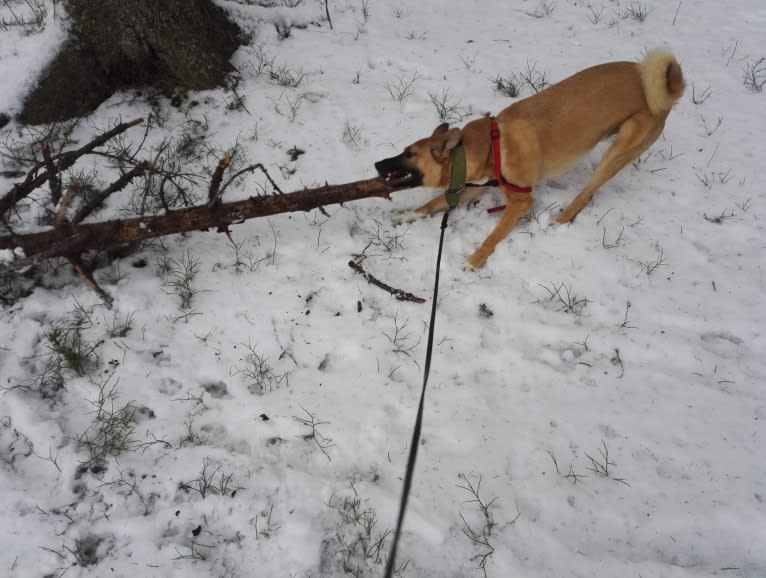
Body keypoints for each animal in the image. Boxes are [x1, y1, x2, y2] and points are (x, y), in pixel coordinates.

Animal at [376, 50, 688, 268]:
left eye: (409, 154)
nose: (378, 164)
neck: (490, 147)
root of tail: (663, 88)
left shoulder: (521, 201)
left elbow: (493, 236)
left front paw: (474, 261)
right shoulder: (474, 187)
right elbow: (432, 203)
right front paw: (406, 216)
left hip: (618, 151)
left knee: (587, 194)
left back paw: (560, 221)